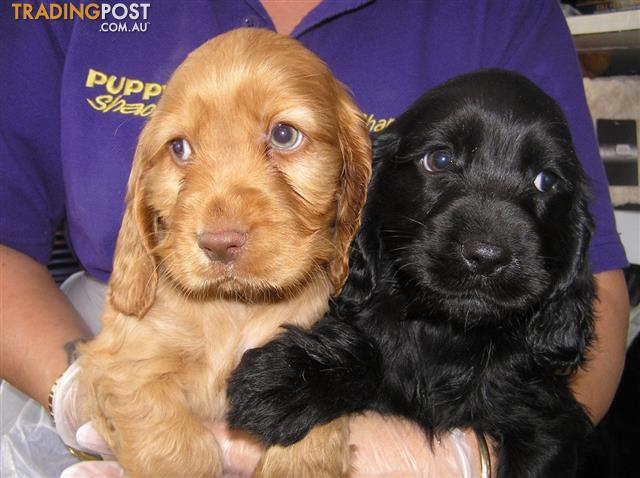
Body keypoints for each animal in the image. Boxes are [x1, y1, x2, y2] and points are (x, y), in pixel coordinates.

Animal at [78, 28, 370, 476]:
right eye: (179, 148)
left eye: (284, 135)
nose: (218, 243)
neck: (235, 307)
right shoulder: (123, 359)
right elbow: (174, 442)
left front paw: (300, 459)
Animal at [229, 70, 596, 478]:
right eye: (439, 159)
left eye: (546, 181)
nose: (486, 257)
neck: (446, 333)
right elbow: (378, 356)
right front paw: (291, 377)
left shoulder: (547, 421)